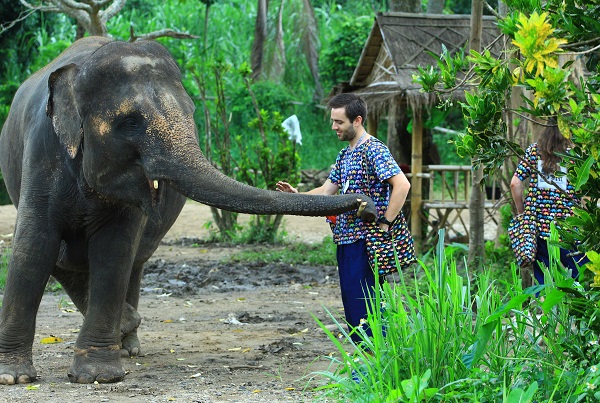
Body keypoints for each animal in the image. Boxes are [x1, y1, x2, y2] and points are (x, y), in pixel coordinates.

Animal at [0, 37, 376, 386]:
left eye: (191, 112)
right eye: (130, 122)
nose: (366, 205)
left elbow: (113, 251)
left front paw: (97, 376)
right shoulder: (42, 152)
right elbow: (35, 244)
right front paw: (13, 378)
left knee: (128, 262)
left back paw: (129, 342)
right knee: (66, 259)